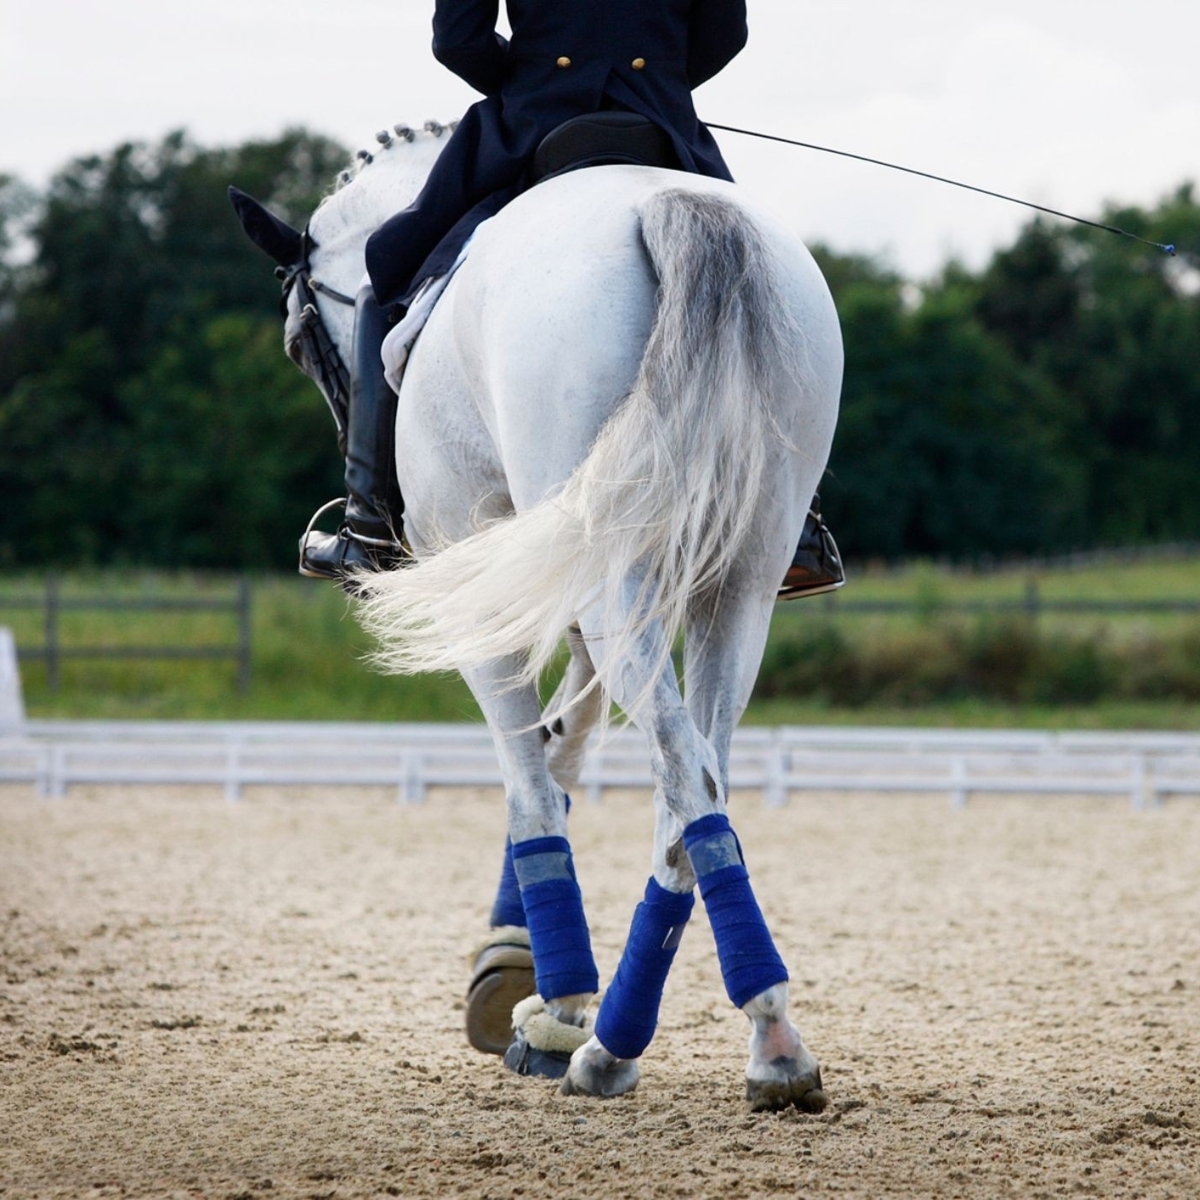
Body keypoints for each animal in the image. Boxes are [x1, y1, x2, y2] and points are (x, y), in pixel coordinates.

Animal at [231, 120, 843, 1110]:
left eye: (298, 343)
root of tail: (672, 206)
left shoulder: (491, 589)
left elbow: (527, 781)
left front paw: (543, 997)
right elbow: (567, 743)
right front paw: (527, 976)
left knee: (682, 772)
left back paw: (707, 1041)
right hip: (737, 587)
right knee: (696, 783)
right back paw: (669, 1043)